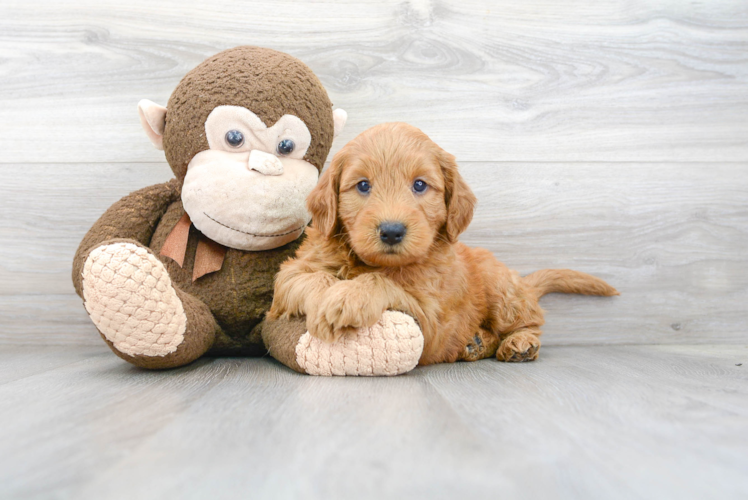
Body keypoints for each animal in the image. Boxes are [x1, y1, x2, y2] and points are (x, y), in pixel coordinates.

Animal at [270, 121, 620, 364]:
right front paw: (328, 299)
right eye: (363, 185)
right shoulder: (292, 272)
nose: (392, 231)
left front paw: (348, 298)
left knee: (531, 321)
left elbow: (381, 282)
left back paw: (520, 343)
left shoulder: (430, 319)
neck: (370, 262)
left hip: (501, 290)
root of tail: (522, 284)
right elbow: (311, 278)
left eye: (420, 185)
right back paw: (476, 343)